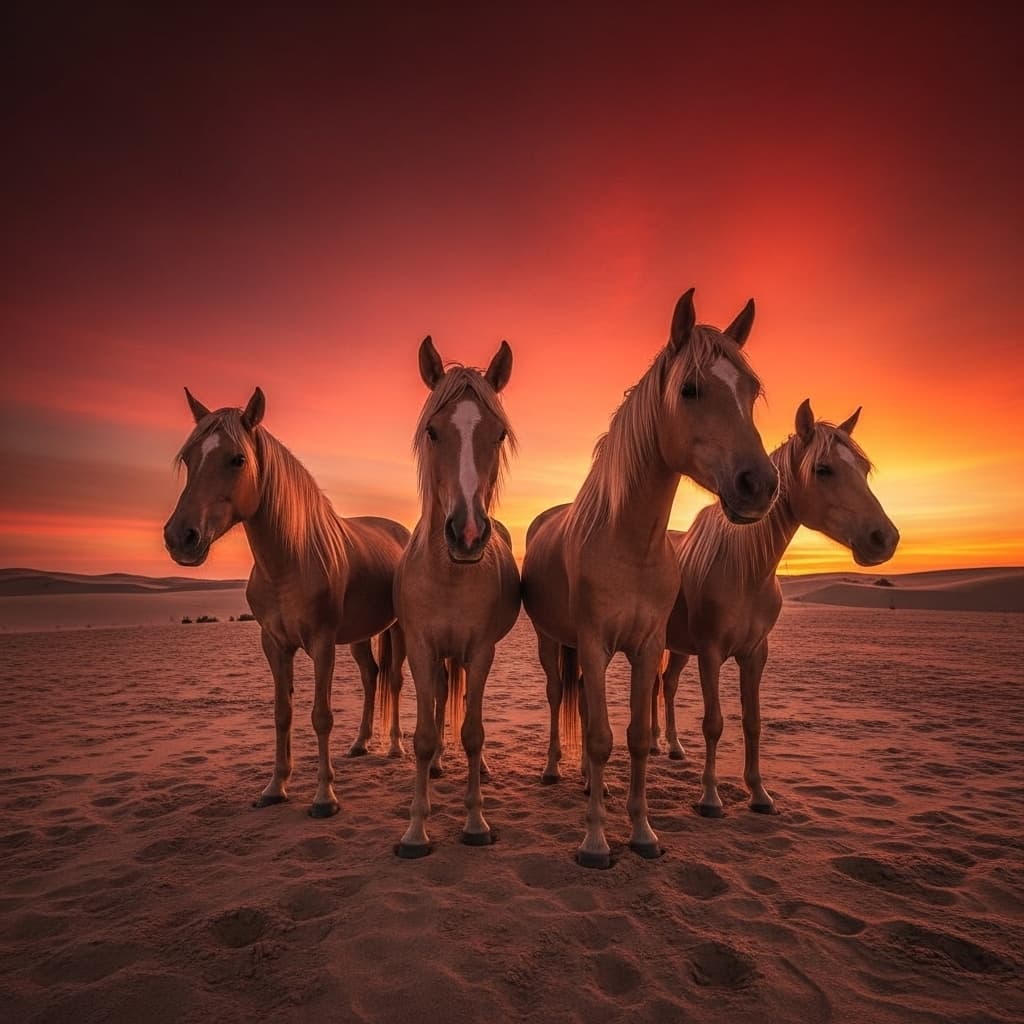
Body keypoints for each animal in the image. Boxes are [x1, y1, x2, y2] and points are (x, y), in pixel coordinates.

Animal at [164, 387, 410, 818]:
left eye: (237, 458)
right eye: (189, 458)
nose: (181, 538)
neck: (291, 560)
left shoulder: (323, 645)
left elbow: (321, 716)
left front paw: (324, 796)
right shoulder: (275, 644)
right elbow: (282, 714)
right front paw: (275, 787)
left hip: (396, 631)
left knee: (393, 679)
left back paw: (394, 746)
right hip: (361, 636)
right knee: (371, 676)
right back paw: (360, 743)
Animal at [521, 288, 778, 867]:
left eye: (751, 391)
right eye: (690, 388)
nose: (759, 484)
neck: (628, 542)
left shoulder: (648, 644)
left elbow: (636, 737)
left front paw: (642, 834)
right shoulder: (595, 643)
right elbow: (599, 739)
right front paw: (595, 843)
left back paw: (593, 784)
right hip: (554, 644)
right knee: (557, 696)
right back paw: (553, 770)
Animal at [651, 399, 899, 816]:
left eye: (864, 470)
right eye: (823, 469)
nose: (884, 538)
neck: (745, 571)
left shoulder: (755, 654)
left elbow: (753, 722)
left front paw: (759, 793)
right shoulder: (711, 653)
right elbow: (714, 723)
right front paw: (710, 797)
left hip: (680, 648)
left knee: (666, 685)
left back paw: (671, 746)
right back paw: (655, 743)